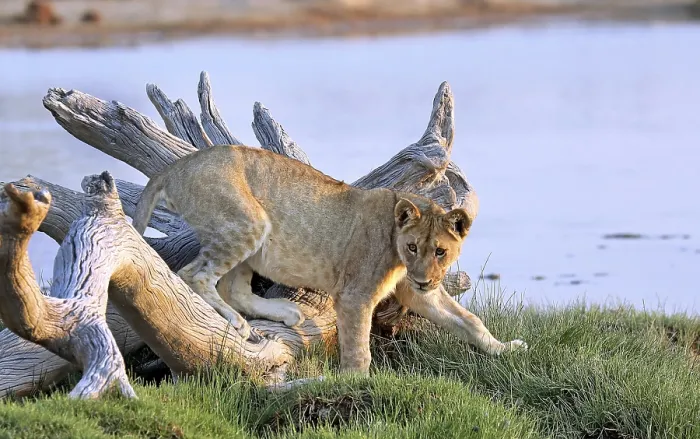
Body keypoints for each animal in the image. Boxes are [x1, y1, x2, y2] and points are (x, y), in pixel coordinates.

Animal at [132, 145, 527, 373]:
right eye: (413, 247)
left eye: (440, 251)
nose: (424, 279)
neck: (396, 245)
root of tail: (175, 167)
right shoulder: (355, 296)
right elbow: (358, 346)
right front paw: (358, 382)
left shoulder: (416, 292)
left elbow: (469, 321)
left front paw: (504, 349)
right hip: (247, 222)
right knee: (193, 274)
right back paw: (239, 323)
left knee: (234, 289)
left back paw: (288, 313)